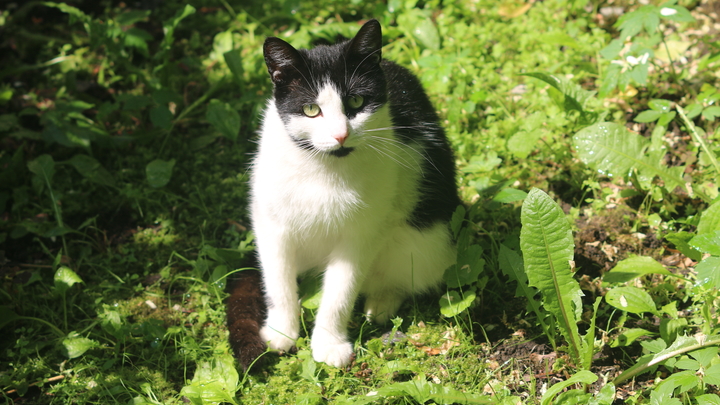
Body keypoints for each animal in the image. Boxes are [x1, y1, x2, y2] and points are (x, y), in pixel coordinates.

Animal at [228, 18, 458, 366]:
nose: (340, 135)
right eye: (311, 109)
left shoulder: (363, 234)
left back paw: (382, 301)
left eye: (356, 102)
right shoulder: (271, 223)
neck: (324, 169)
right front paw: (282, 331)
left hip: (425, 240)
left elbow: (340, 292)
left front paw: (329, 344)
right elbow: (279, 282)